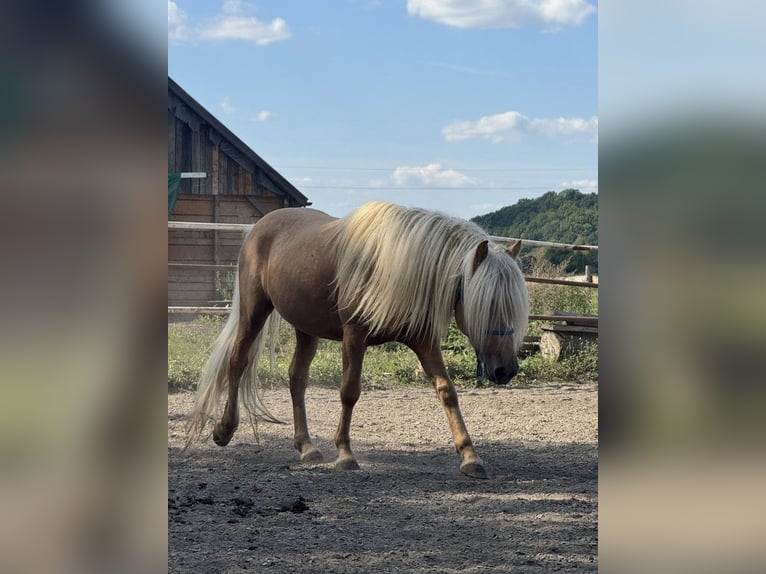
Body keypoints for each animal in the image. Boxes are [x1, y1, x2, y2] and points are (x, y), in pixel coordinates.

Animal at [186, 200, 529, 478]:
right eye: (488, 305)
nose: (506, 370)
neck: (395, 266)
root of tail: (259, 226)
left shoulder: (424, 341)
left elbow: (447, 392)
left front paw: (470, 456)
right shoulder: (354, 335)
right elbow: (349, 391)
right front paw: (345, 454)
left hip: (306, 328)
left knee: (297, 378)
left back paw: (306, 446)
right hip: (254, 311)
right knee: (238, 362)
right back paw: (224, 430)